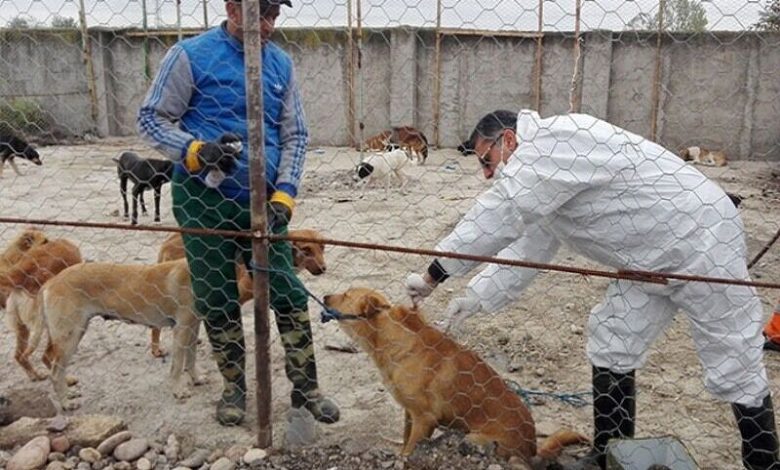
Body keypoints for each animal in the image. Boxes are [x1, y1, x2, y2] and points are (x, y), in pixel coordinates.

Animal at [322, 284, 584, 464]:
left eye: (346, 295)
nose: (323, 296)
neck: (394, 339)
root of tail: (532, 449)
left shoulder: (425, 419)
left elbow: (409, 451)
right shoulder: (410, 413)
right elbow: (405, 441)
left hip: (476, 438)